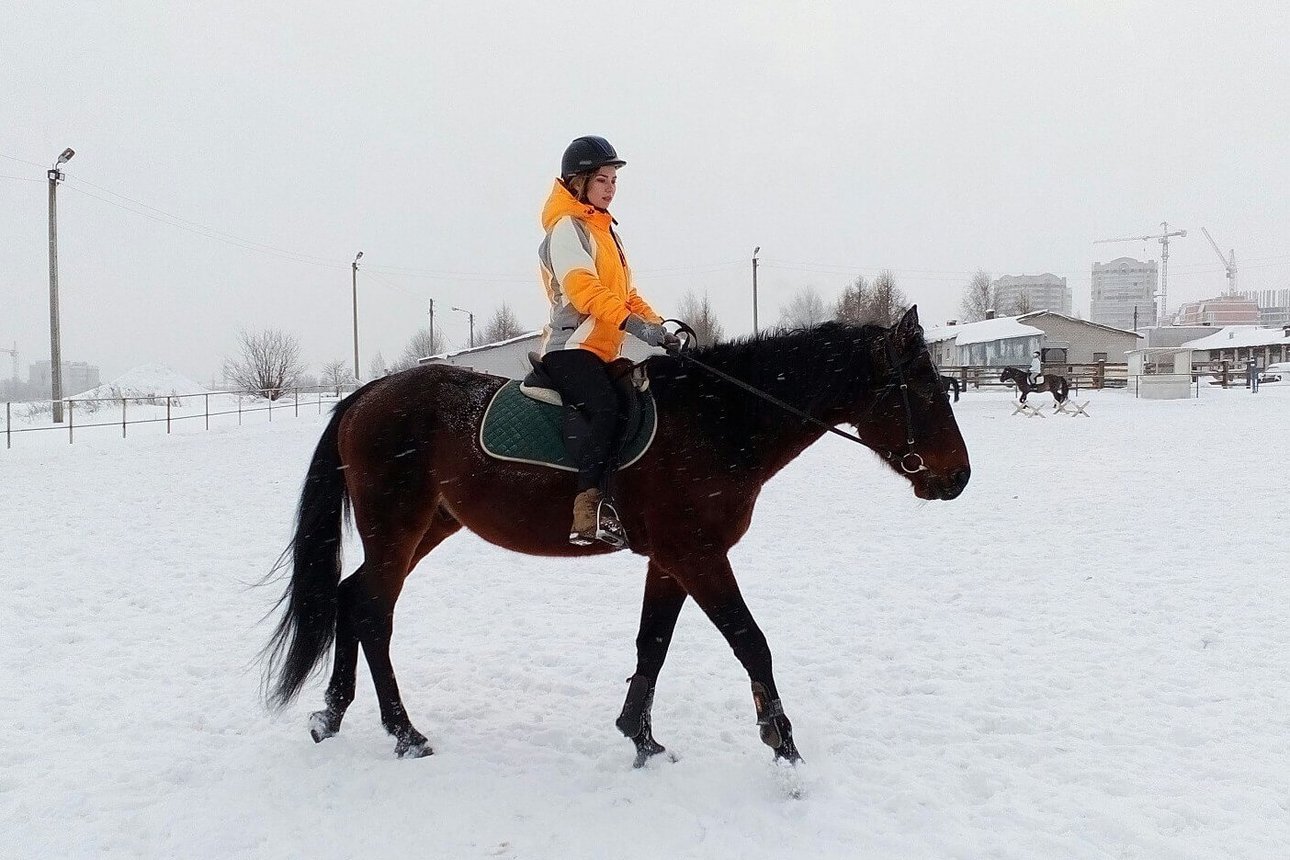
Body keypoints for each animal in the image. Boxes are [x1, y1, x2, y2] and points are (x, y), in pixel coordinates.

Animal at [261, 305, 970, 763]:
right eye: (923, 390)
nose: (959, 478)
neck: (715, 421)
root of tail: (369, 394)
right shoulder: (698, 555)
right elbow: (752, 643)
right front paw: (783, 746)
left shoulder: (672, 559)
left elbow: (652, 644)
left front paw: (641, 736)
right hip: (397, 526)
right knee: (370, 610)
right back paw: (403, 734)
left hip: (427, 527)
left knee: (351, 599)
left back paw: (332, 714)